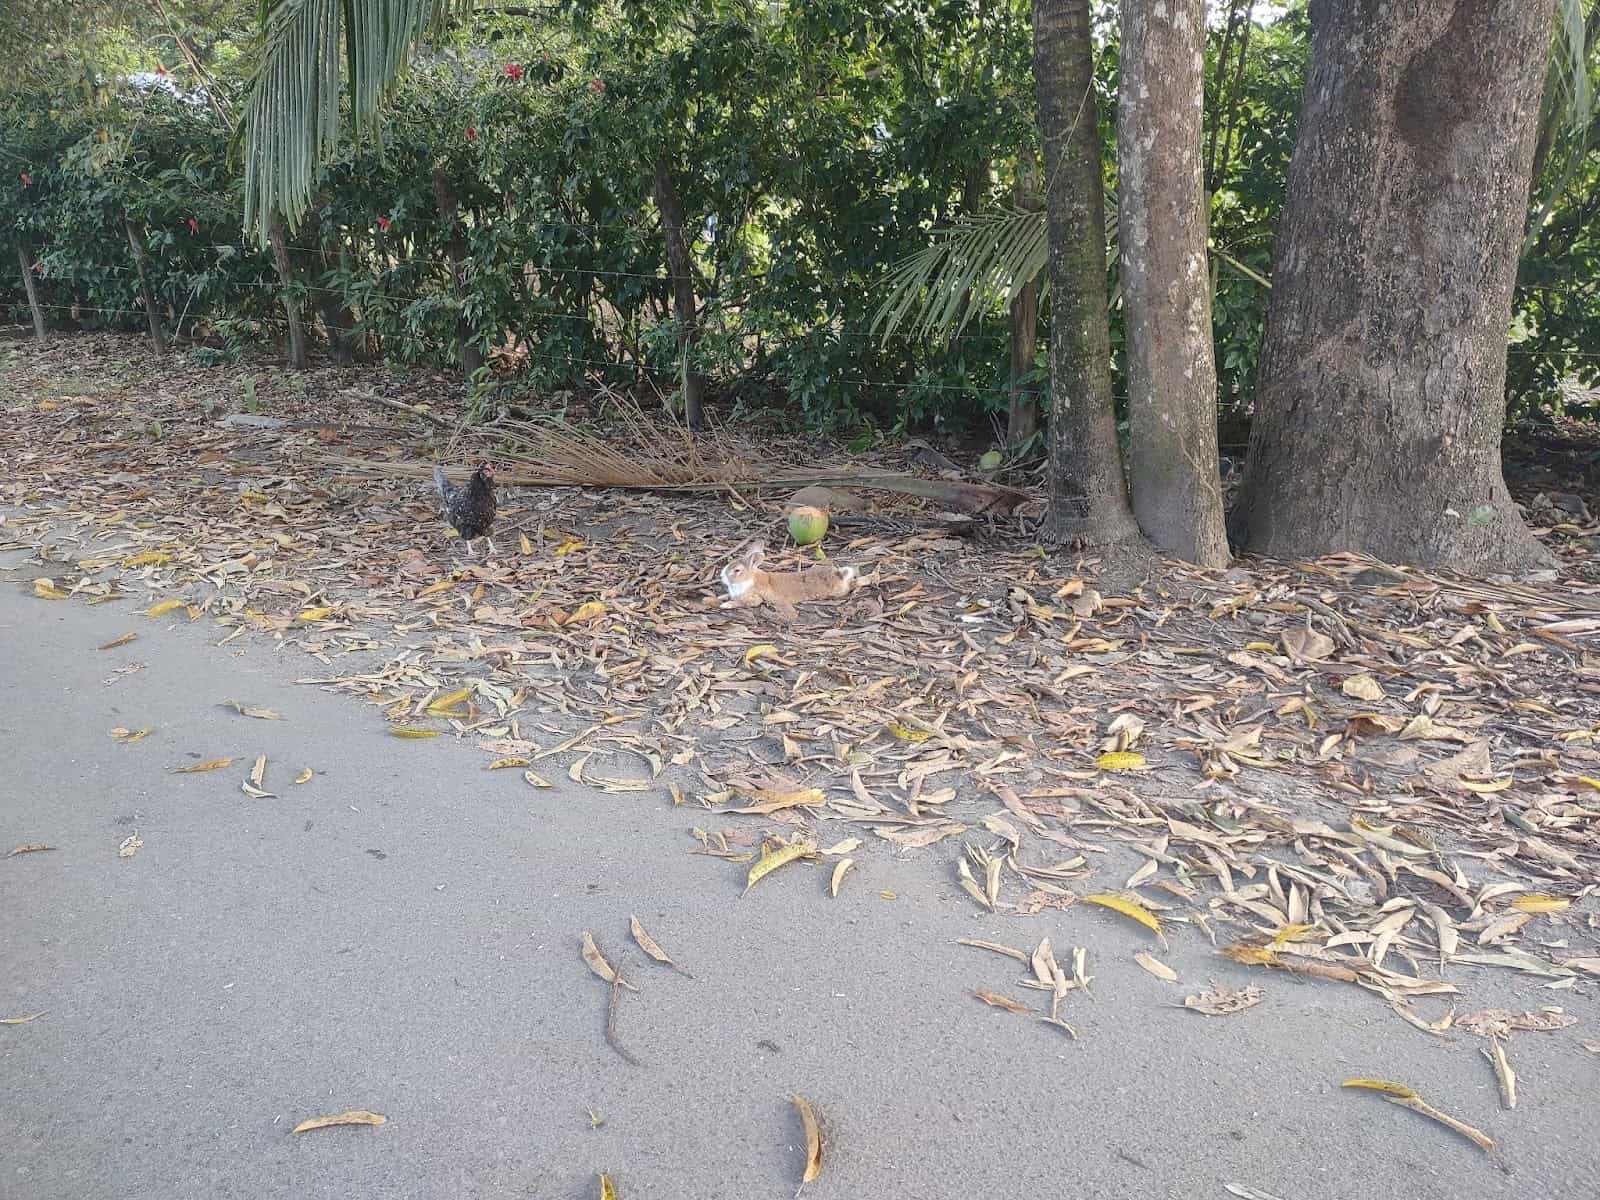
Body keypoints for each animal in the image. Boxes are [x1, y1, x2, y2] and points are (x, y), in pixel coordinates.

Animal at [718, 542, 859, 622]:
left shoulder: (753, 598)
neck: (749, 578)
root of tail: (840, 575)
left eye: (737, 570)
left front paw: (726, 605)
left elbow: (741, 602)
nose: (722, 577)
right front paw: (720, 598)